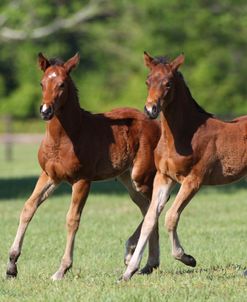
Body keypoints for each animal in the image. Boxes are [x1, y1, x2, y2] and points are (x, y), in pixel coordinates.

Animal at [6, 52, 160, 280]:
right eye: (42, 83)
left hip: (142, 176)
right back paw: (143, 260)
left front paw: (62, 269)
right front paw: (11, 264)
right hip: (127, 178)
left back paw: (142, 257)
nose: (45, 111)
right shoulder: (49, 175)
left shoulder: (82, 180)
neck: (66, 137)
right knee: (145, 206)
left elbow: (72, 219)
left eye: (61, 84)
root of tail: (155, 122)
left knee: (155, 206)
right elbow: (28, 208)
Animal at [122, 52, 247, 280]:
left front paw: (186, 258)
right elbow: (150, 220)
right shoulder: (164, 177)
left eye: (168, 83)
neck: (184, 135)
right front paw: (128, 272)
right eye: (147, 81)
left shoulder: (194, 180)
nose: (150, 109)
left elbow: (170, 217)